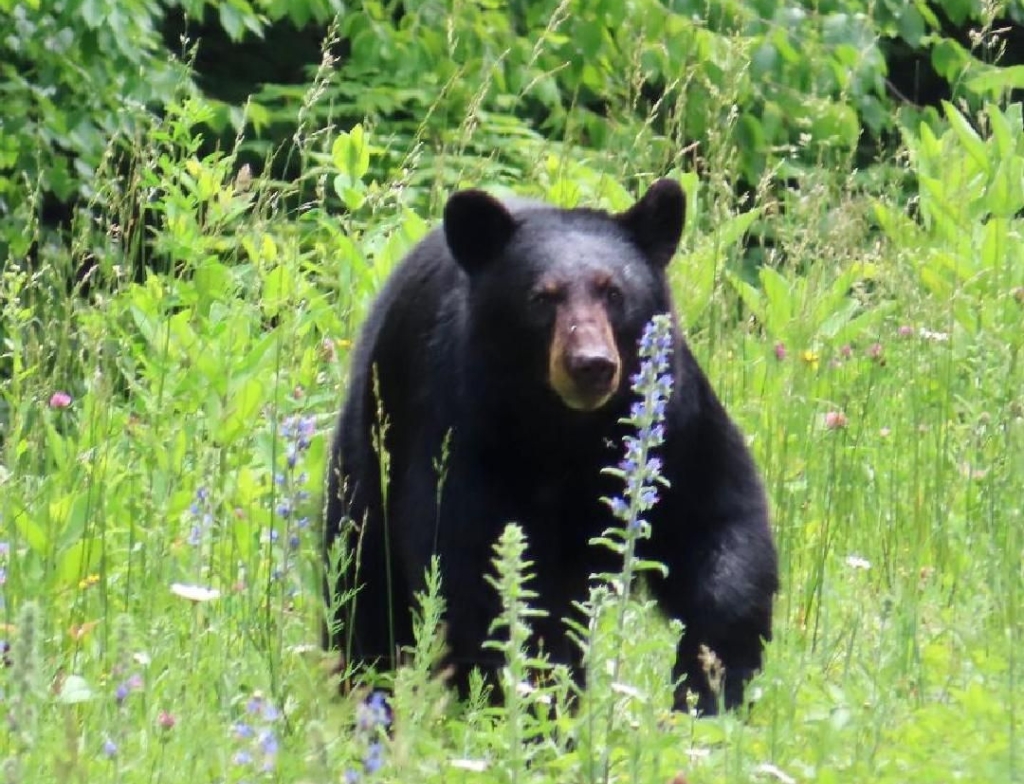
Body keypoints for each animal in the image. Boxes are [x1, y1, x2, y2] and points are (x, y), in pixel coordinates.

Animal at [323, 180, 778, 720]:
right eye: (542, 297)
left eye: (613, 291)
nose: (591, 364)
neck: (567, 431)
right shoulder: (465, 431)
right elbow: (481, 574)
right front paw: (538, 699)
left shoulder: (672, 420)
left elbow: (717, 524)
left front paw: (709, 685)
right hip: (370, 451)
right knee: (361, 588)